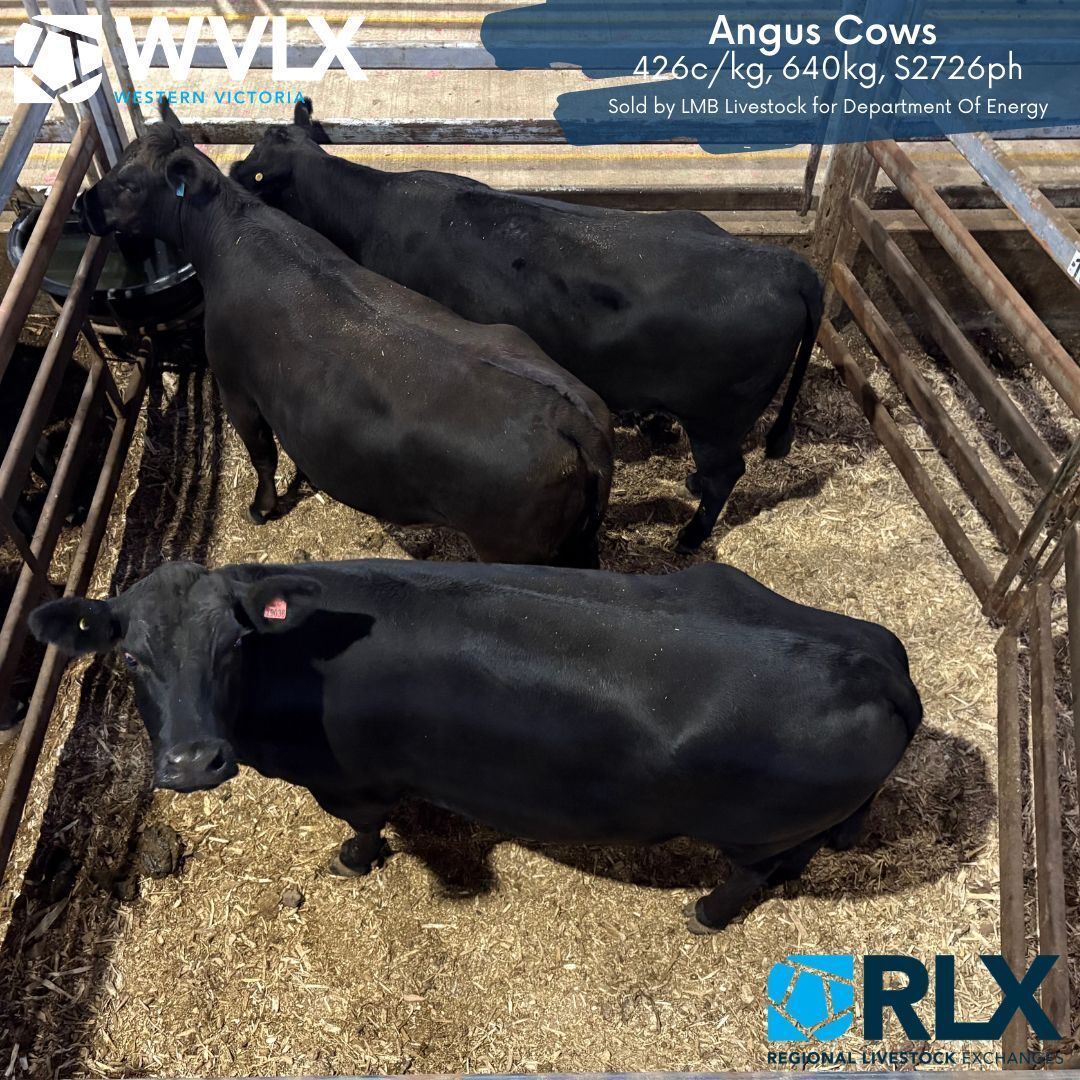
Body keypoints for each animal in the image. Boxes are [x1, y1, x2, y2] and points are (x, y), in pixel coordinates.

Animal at [30, 558, 921, 933]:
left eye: (233, 644)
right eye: (130, 656)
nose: (192, 763)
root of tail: (877, 665)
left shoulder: (349, 780)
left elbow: (363, 828)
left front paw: (351, 863)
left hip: (753, 833)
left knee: (753, 874)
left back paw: (705, 913)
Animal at [76, 101, 613, 568]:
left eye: (127, 183)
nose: (85, 203)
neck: (231, 233)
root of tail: (570, 415)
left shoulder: (237, 387)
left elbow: (263, 455)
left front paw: (262, 508)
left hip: (510, 548)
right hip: (576, 541)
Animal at [231, 98, 825, 552]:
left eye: (254, 169)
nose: (232, 175)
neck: (372, 211)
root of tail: (783, 263)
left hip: (716, 419)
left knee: (727, 473)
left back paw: (688, 535)